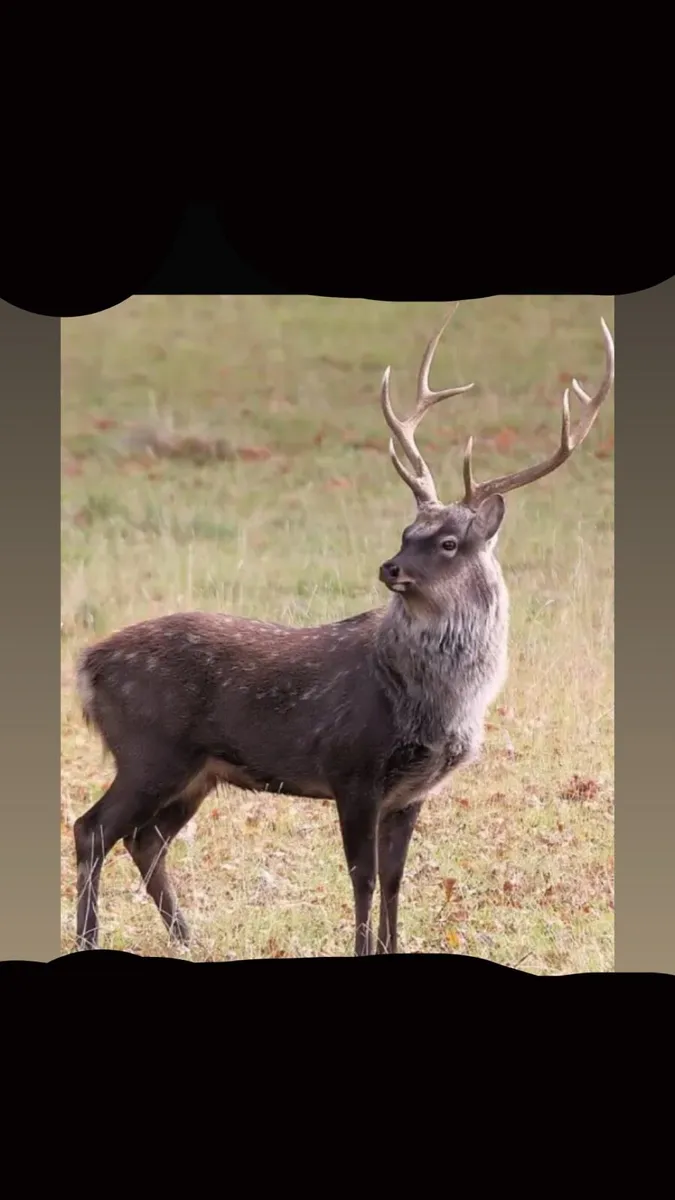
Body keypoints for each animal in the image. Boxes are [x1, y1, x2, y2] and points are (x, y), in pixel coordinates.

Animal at [72, 304, 614, 957]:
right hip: (149, 747)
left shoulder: (412, 791)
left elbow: (396, 878)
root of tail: (86, 664)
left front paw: (393, 946)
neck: (435, 703)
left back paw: (188, 940)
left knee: (145, 838)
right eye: (407, 532)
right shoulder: (352, 766)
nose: (390, 567)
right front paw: (362, 948)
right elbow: (361, 876)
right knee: (92, 828)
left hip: (197, 769)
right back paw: (89, 937)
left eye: (448, 542)